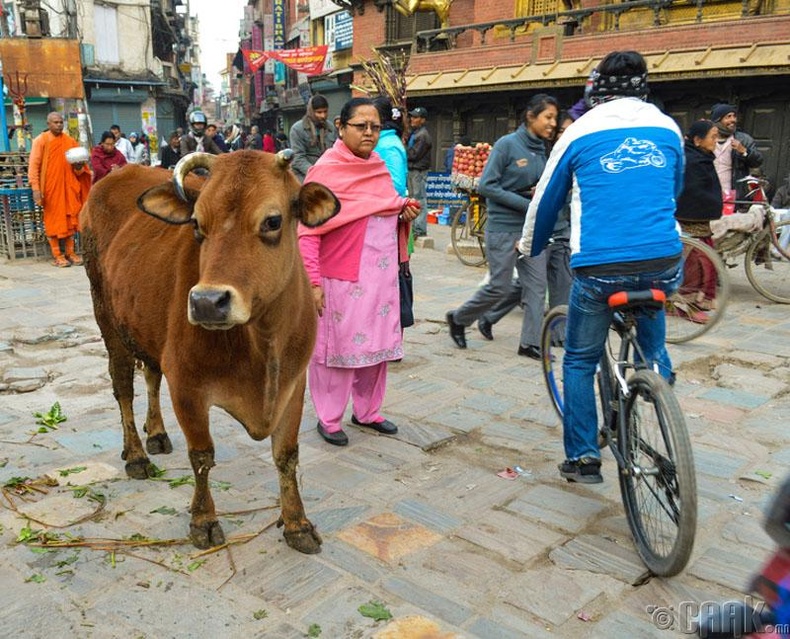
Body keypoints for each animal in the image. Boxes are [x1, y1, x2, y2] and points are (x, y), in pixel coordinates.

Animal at [82, 151, 338, 556]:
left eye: (273, 220)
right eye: (198, 224)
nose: (206, 302)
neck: (261, 340)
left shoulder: (294, 384)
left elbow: (286, 456)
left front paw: (297, 524)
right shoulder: (187, 387)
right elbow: (201, 456)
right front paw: (203, 520)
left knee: (151, 373)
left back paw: (156, 433)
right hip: (107, 320)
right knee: (123, 388)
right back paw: (136, 454)